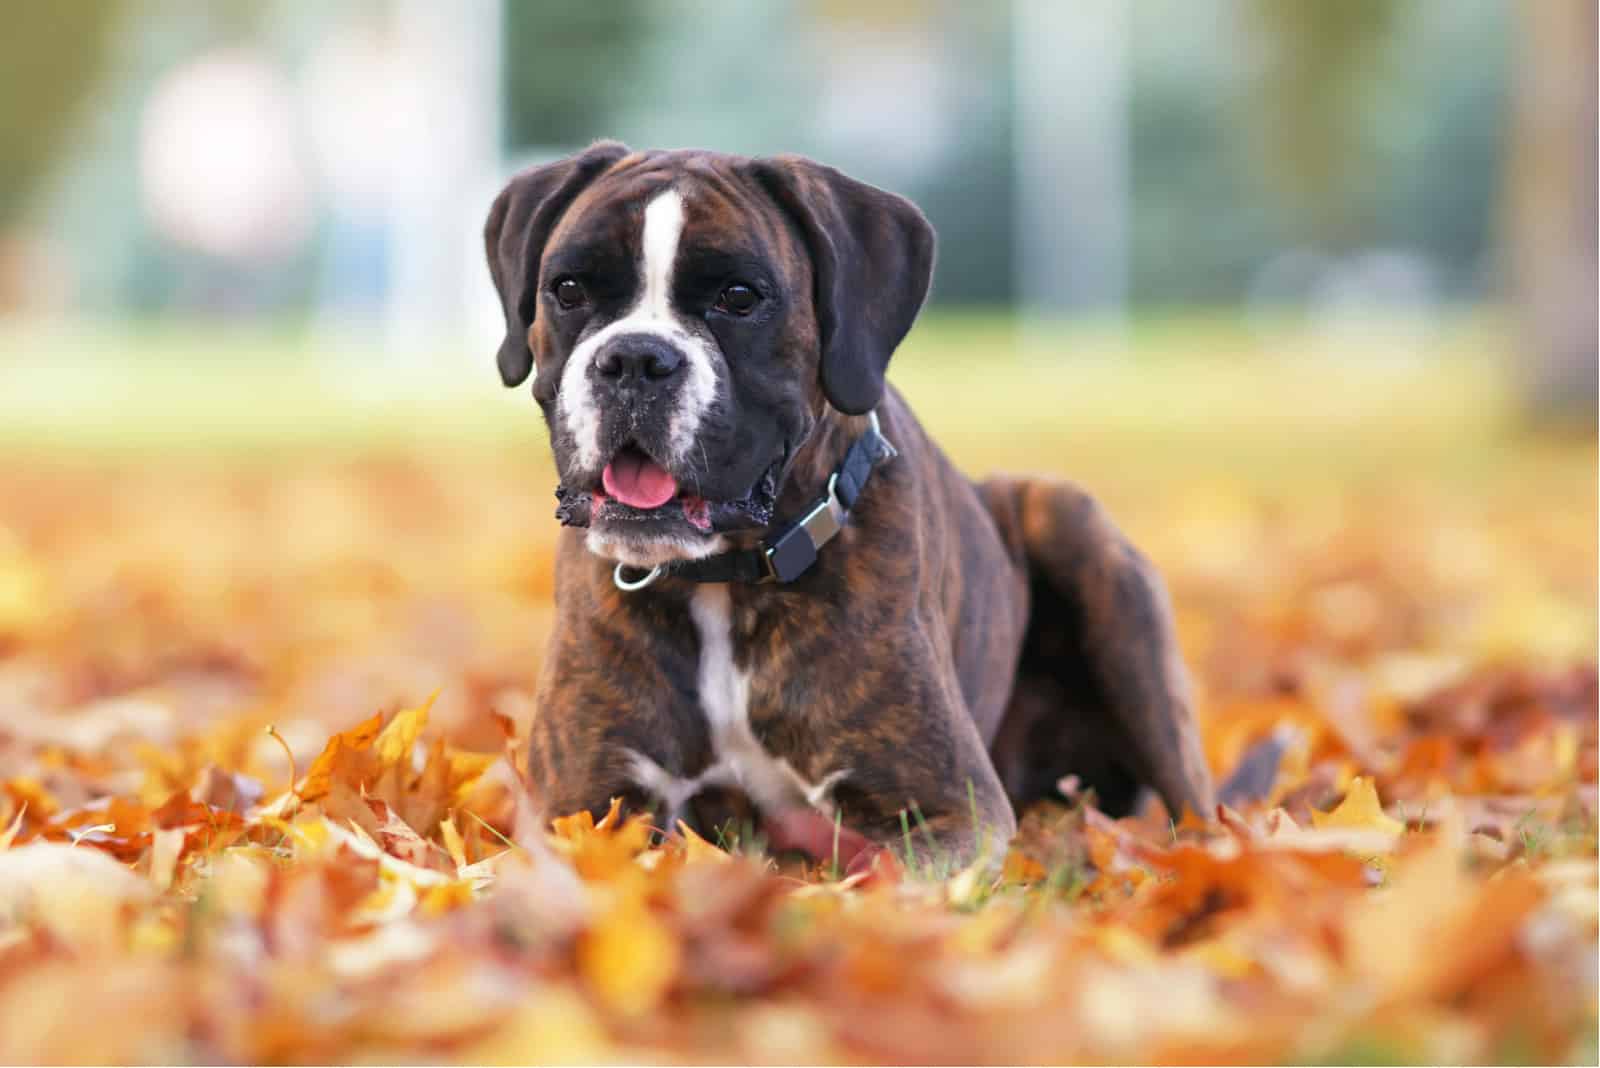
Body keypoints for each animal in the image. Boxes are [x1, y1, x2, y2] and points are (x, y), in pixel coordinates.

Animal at [486, 141, 1209, 869]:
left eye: (739, 297)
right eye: (569, 290)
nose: (635, 357)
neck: (723, 581)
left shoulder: (949, 810)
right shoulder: (582, 808)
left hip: (1075, 527)